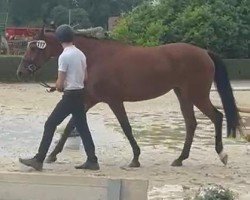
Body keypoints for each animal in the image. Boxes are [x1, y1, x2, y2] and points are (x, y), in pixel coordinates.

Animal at [16, 26, 241, 167]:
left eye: (34, 47)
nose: (21, 72)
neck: (95, 58)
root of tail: (204, 52)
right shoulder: (88, 100)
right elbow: (71, 125)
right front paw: (52, 155)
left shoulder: (114, 101)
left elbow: (126, 127)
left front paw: (135, 158)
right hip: (183, 95)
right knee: (191, 123)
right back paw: (180, 159)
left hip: (197, 95)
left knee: (217, 116)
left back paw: (221, 154)